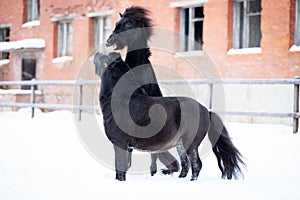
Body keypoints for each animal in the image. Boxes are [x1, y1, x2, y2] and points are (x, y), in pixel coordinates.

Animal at [94, 50, 246, 181]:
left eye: (103, 58)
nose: (96, 53)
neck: (123, 101)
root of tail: (206, 110)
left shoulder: (120, 143)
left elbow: (120, 167)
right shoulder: (127, 146)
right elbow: (123, 166)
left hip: (190, 143)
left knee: (196, 164)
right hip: (180, 144)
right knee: (186, 164)